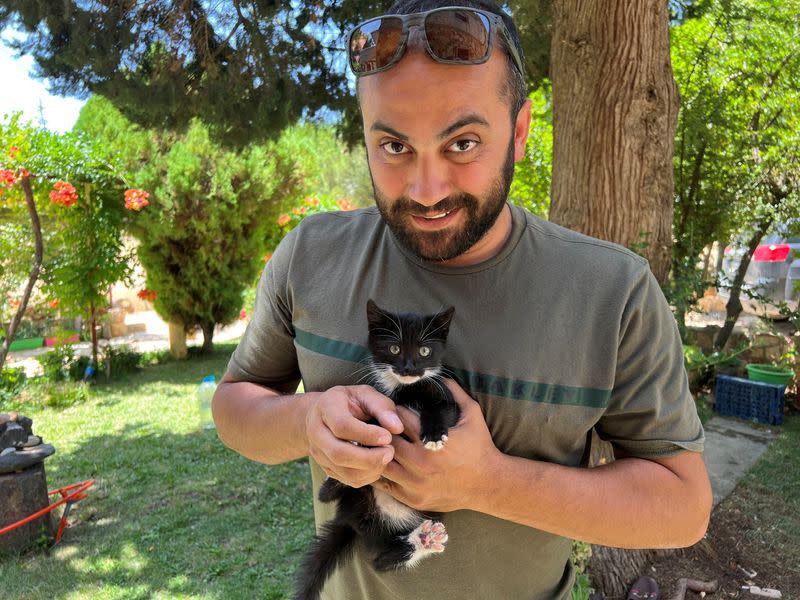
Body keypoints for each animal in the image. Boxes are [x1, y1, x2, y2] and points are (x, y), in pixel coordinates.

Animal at [292, 300, 456, 600]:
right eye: (394, 349)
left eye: (424, 351)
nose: (408, 368)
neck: (403, 390)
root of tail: (353, 520)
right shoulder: (378, 398)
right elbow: (373, 419)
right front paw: (360, 438)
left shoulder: (447, 396)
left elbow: (442, 409)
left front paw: (434, 434)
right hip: (356, 497)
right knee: (328, 499)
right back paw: (334, 483)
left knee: (383, 561)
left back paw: (424, 540)